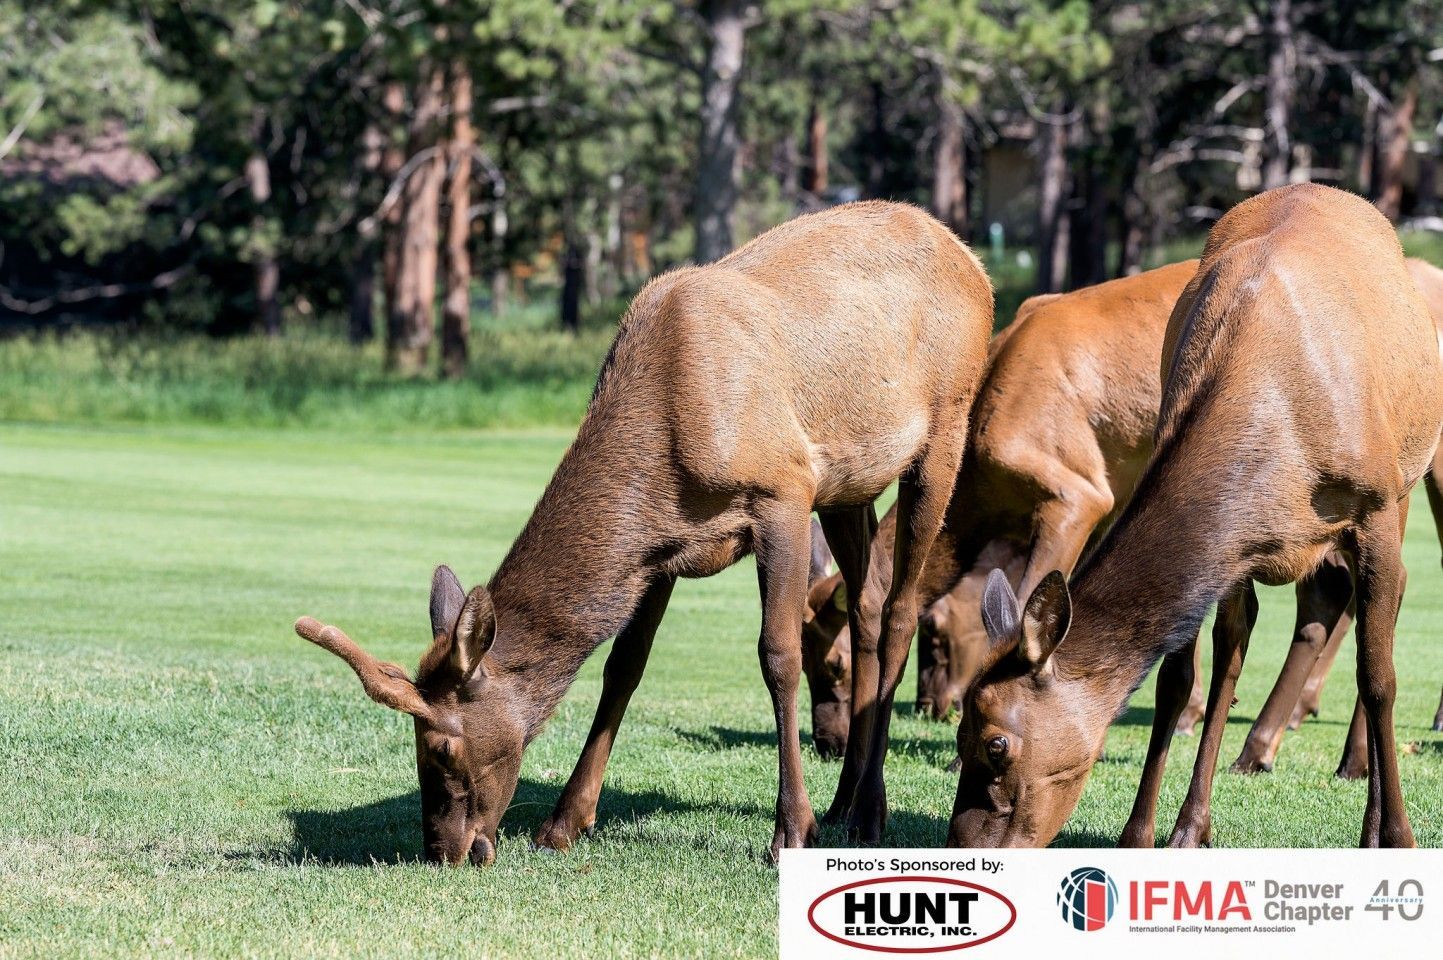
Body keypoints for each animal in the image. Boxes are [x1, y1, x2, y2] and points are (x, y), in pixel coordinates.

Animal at [291, 200, 994, 865]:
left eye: (439, 747)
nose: (443, 850)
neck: (666, 449)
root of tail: (972, 259)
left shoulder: (783, 491)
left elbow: (778, 656)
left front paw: (792, 830)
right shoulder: (661, 552)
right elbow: (623, 667)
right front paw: (564, 823)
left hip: (944, 430)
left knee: (901, 608)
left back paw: (868, 808)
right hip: (848, 486)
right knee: (867, 603)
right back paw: (846, 799)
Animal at [948, 184, 1443, 850]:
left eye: (996, 743)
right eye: (958, 735)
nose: (959, 843)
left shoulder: (1377, 509)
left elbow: (1379, 676)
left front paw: (1394, 835)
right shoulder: (1234, 544)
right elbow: (1181, 677)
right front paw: (1151, 831)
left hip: (1411, 475)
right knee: (1247, 641)